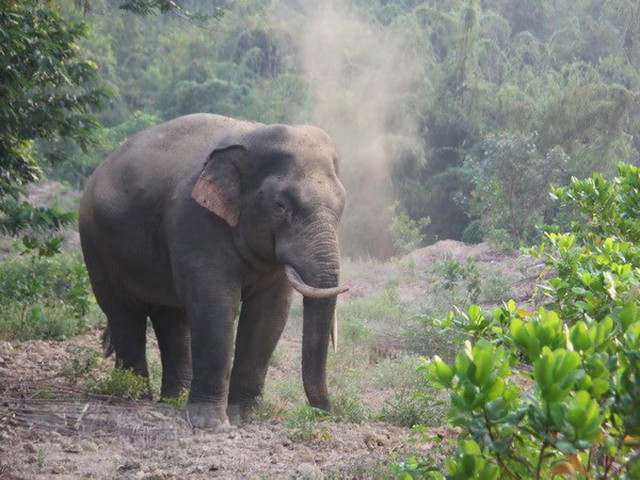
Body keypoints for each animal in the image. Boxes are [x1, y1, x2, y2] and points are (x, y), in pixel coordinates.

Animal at [77, 113, 348, 432]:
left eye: (342, 205)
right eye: (280, 206)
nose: (328, 414)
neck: (251, 136)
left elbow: (270, 314)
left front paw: (243, 417)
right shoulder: (194, 219)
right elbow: (214, 305)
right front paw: (211, 423)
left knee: (171, 317)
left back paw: (173, 400)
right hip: (95, 244)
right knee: (123, 311)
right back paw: (133, 394)